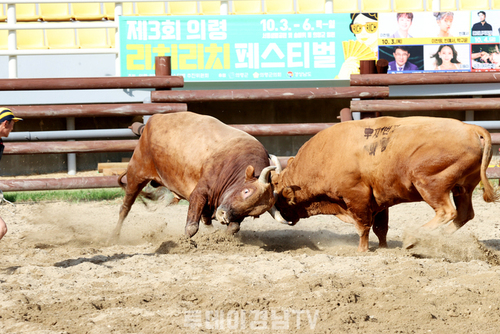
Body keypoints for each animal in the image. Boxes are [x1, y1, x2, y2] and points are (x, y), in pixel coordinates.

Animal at [111, 111, 280, 240]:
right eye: (246, 191)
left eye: (253, 213)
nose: (224, 216)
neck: (234, 162)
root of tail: (153, 120)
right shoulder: (200, 192)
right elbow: (192, 226)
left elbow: (232, 228)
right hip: (136, 173)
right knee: (125, 207)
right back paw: (115, 235)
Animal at [270, 116, 496, 252]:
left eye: (280, 202)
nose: (286, 219)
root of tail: (472, 129)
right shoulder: (379, 201)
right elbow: (381, 228)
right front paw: (383, 247)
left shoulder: (357, 197)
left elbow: (363, 227)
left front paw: (362, 250)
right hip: (462, 188)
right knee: (465, 214)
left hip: (430, 184)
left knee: (447, 212)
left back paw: (414, 238)